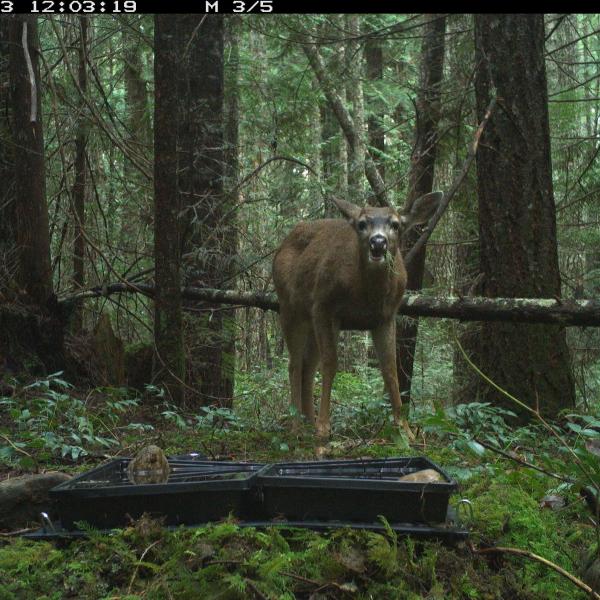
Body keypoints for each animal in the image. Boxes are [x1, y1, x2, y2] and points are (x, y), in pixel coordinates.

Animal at [272, 193, 440, 440]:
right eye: (362, 224)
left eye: (395, 224)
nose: (378, 242)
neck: (365, 296)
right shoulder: (323, 305)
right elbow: (331, 363)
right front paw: (324, 427)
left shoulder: (386, 317)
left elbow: (390, 369)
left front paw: (406, 430)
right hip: (290, 308)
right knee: (294, 365)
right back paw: (297, 428)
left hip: (310, 321)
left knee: (307, 366)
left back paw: (308, 422)